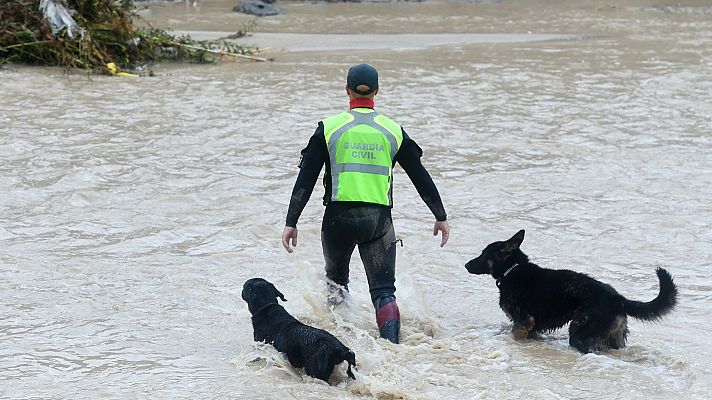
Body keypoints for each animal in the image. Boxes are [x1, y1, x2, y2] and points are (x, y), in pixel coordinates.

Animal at [464, 230, 676, 352]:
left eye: (483, 254)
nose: (466, 264)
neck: (512, 269)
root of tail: (617, 298)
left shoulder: (523, 322)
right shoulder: (530, 327)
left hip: (580, 334)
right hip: (614, 338)